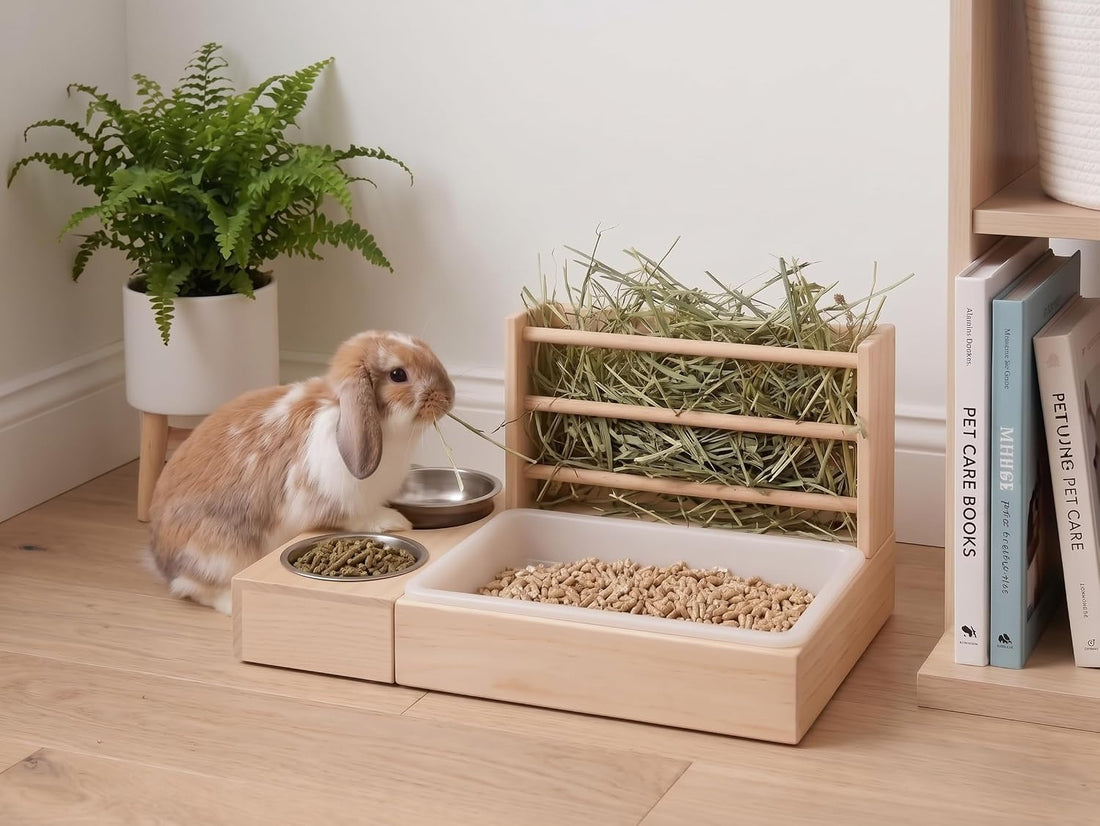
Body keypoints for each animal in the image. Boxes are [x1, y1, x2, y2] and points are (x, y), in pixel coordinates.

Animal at [147, 330, 455, 614]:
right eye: (398, 374)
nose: (449, 396)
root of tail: (159, 557)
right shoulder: (332, 501)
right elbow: (357, 517)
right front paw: (395, 521)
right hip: (220, 554)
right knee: (193, 588)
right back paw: (229, 605)